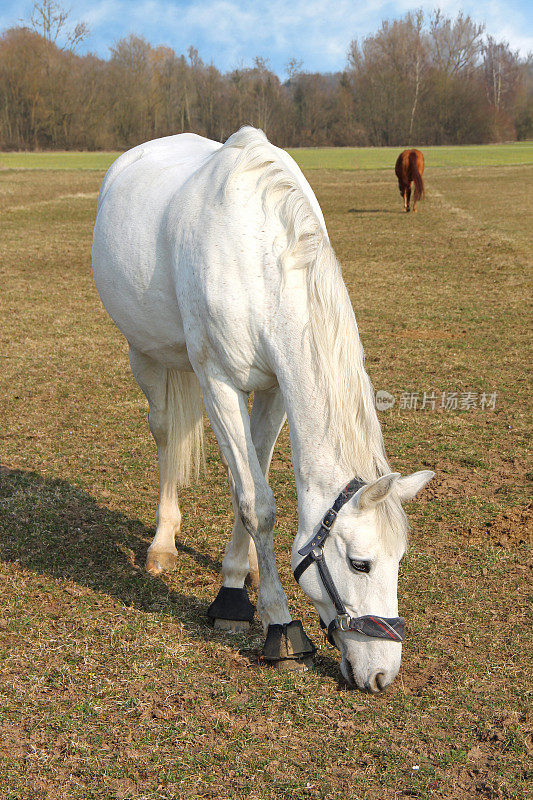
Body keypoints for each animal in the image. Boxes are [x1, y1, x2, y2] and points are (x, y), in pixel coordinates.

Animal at [92, 128, 432, 692]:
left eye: (400, 558)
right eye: (360, 564)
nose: (382, 674)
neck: (258, 257)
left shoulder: (275, 388)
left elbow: (250, 484)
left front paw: (236, 579)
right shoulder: (219, 383)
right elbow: (258, 503)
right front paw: (275, 621)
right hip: (146, 355)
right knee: (165, 438)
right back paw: (162, 543)